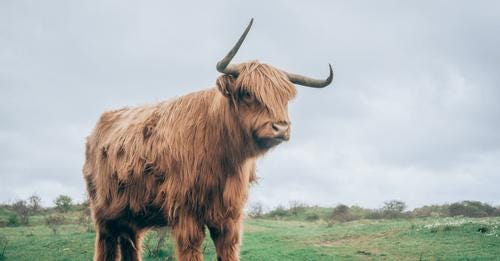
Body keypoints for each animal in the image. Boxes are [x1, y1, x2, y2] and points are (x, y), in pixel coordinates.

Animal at [83, 19, 332, 260]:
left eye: (284, 98)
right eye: (247, 93)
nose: (281, 127)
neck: (223, 156)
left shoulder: (229, 214)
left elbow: (228, 248)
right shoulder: (185, 210)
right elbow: (191, 248)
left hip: (131, 213)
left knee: (129, 242)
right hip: (103, 211)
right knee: (106, 244)